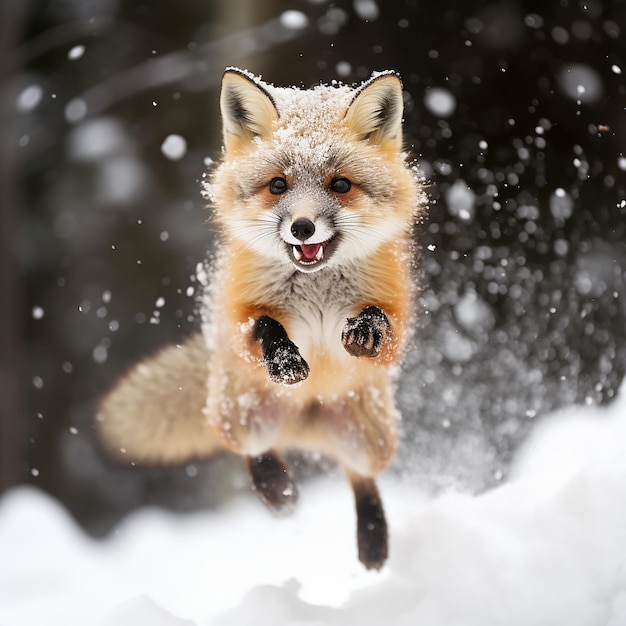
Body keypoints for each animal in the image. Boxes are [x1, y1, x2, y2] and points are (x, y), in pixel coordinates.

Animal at [96, 66, 424, 568]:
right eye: (277, 186)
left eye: (340, 185)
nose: (303, 227)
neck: (316, 287)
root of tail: (304, 425)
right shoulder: (237, 314)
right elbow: (264, 327)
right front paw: (286, 360)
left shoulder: (397, 317)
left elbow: (381, 324)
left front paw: (364, 330)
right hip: (244, 414)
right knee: (252, 454)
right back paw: (278, 492)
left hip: (369, 438)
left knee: (360, 477)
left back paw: (373, 543)